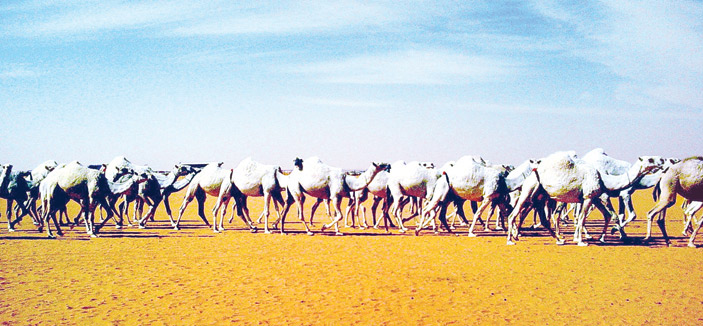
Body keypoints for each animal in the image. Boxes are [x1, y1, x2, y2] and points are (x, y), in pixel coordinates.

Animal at [506, 152, 664, 246]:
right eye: (650, 159)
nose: (662, 160)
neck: (603, 179)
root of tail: (533, 171)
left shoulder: (590, 197)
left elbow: (596, 216)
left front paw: (596, 238)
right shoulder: (589, 197)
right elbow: (582, 218)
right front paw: (582, 241)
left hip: (540, 194)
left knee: (544, 218)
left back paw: (559, 239)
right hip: (529, 189)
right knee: (513, 213)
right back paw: (511, 240)